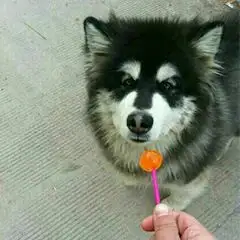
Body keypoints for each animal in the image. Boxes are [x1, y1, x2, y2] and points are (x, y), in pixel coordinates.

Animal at [83, 11, 240, 210]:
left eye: (168, 85)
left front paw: (170, 206)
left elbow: (184, 192)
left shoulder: (190, 175)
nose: (139, 122)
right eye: (127, 82)